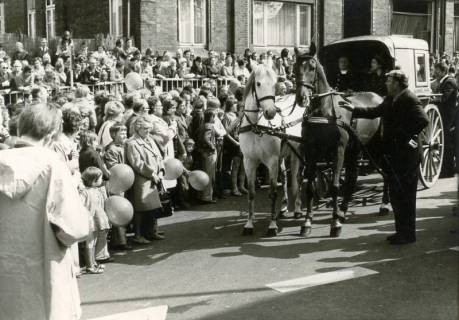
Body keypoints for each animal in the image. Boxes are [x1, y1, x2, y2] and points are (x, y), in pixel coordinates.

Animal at [241, 64, 306, 235]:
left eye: (274, 84)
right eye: (258, 84)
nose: (271, 112)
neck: (256, 127)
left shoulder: (271, 161)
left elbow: (272, 193)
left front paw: (272, 225)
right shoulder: (248, 161)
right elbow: (251, 193)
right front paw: (249, 224)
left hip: (299, 152)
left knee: (298, 177)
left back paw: (297, 208)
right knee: (285, 177)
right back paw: (284, 207)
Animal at [296, 43, 382, 236]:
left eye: (312, 67)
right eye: (295, 67)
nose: (301, 98)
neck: (324, 111)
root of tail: (379, 96)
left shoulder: (338, 149)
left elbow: (335, 186)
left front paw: (334, 224)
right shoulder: (311, 151)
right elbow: (310, 187)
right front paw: (307, 222)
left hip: (378, 147)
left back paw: (384, 205)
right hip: (355, 149)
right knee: (352, 178)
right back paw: (343, 211)